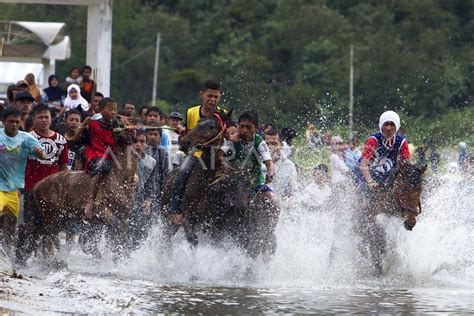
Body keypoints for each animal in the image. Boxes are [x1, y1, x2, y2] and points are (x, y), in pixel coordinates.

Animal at [15, 116, 138, 264]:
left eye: (131, 120)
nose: (117, 118)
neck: (121, 178)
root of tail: (36, 186)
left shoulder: (124, 214)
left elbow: (119, 234)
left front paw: (119, 256)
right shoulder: (101, 210)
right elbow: (116, 229)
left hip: (50, 218)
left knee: (33, 233)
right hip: (51, 217)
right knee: (45, 237)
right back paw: (54, 261)